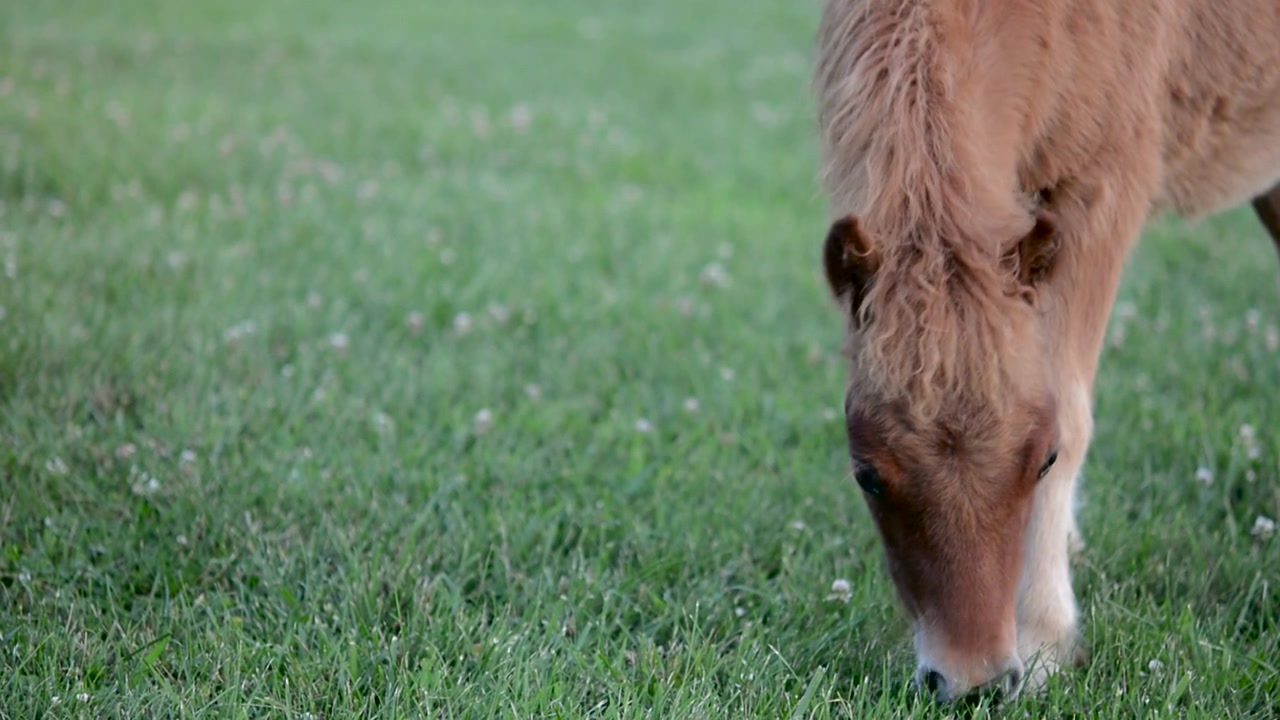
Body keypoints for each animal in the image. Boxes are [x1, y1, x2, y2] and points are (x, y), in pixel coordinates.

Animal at [812, 0, 1280, 703]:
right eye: (867, 476)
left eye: (1043, 459)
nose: (972, 683)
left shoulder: (1100, 192)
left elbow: (1074, 407)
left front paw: (1042, 642)